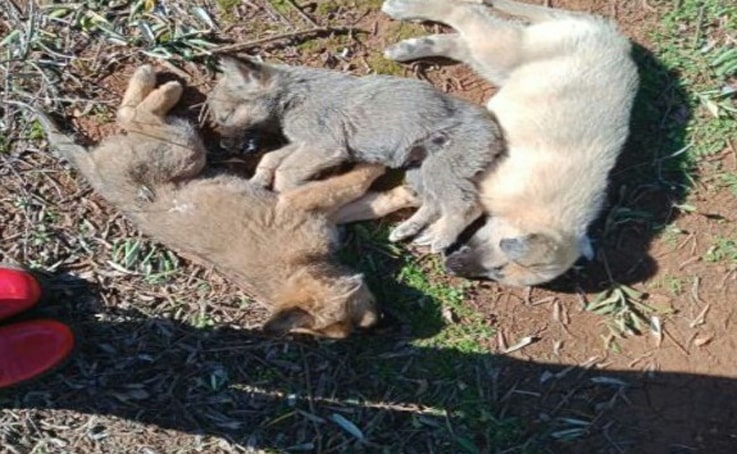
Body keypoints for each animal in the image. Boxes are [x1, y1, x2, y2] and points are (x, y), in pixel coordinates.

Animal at [210, 56, 504, 252]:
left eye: (225, 116)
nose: (224, 145)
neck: (296, 93)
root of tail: (496, 129)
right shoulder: (302, 143)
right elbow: (271, 157)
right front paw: (258, 180)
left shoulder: (324, 145)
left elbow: (286, 173)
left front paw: (298, 195)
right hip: (420, 170)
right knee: (433, 203)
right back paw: (410, 229)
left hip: (441, 170)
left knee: (467, 205)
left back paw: (441, 237)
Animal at [380, 0, 640, 284]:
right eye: (500, 268)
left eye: (498, 276)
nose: (451, 268)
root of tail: (611, 36)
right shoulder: (481, 178)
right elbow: (461, 205)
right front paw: (442, 231)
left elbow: (436, 201)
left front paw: (417, 227)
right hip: (504, 49)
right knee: (466, 12)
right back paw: (404, 10)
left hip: (501, 65)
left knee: (461, 41)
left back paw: (410, 47)